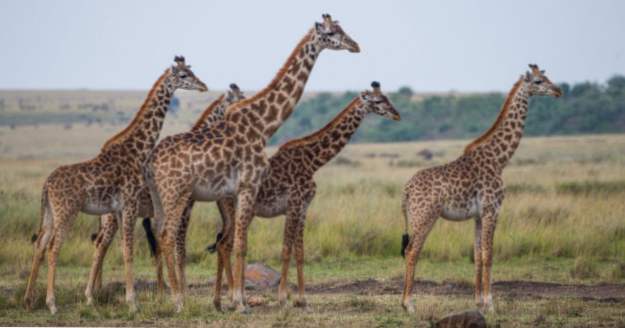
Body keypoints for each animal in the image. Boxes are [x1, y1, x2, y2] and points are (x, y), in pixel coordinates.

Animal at [23, 57, 208, 316]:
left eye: (191, 72)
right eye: (183, 75)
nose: (203, 86)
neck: (136, 151)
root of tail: (46, 185)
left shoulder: (121, 209)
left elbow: (123, 249)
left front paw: (132, 299)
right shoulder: (130, 205)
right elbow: (129, 250)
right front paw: (133, 303)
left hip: (50, 213)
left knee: (40, 244)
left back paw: (29, 301)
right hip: (66, 212)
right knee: (53, 247)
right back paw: (52, 304)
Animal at [84, 83, 244, 304]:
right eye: (239, 98)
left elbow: (165, 246)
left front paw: (165, 293)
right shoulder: (185, 208)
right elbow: (179, 249)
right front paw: (182, 292)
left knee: (101, 242)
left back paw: (98, 291)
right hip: (111, 216)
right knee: (101, 244)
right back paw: (93, 295)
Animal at [145, 14, 360, 312]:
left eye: (342, 28)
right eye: (330, 33)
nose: (355, 46)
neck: (263, 126)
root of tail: (151, 162)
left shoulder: (240, 191)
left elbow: (237, 242)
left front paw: (237, 300)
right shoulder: (248, 186)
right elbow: (240, 245)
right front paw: (240, 303)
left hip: (159, 196)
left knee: (161, 235)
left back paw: (166, 298)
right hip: (176, 193)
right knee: (168, 237)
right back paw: (179, 302)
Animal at [205, 80, 400, 308]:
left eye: (387, 97)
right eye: (378, 101)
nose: (397, 115)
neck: (313, 162)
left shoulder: (303, 208)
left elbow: (299, 252)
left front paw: (302, 298)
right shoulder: (293, 205)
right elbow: (286, 250)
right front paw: (283, 298)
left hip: (236, 214)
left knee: (223, 244)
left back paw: (221, 300)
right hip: (239, 211)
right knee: (226, 244)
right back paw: (230, 298)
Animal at [400, 64, 560, 312]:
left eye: (546, 77)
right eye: (538, 81)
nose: (558, 91)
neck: (500, 159)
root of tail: (406, 190)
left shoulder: (477, 215)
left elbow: (477, 255)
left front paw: (478, 301)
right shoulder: (492, 210)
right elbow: (489, 254)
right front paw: (490, 304)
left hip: (418, 216)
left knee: (411, 250)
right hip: (424, 215)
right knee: (412, 251)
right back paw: (408, 304)